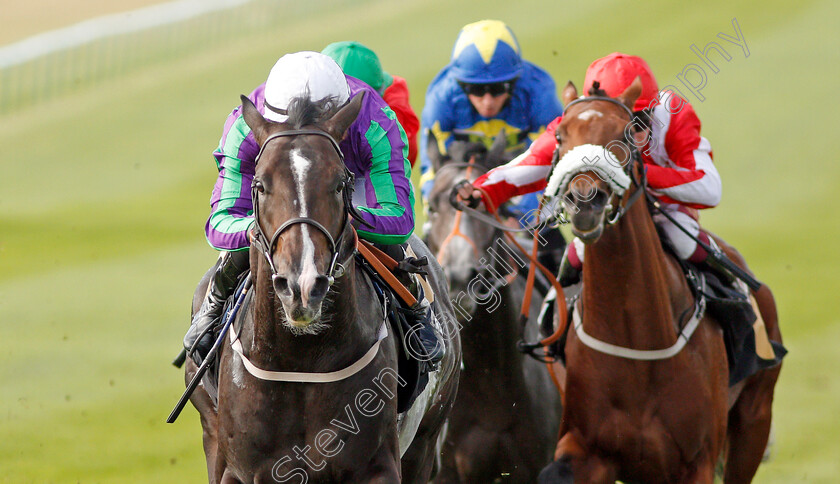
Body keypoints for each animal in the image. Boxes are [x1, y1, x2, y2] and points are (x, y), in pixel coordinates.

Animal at [185, 91, 460, 484]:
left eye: (340, 183)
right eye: (260, 185)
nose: (302, 286)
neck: (302, 361)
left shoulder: (377, 466)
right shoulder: (236, 470)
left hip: (425, 440)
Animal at [540, 77, 780, 482]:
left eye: (624, 133)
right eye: (559, 135)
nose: (585, 201)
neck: (638, 339)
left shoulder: (697, 460)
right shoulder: (589, 450)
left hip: (754, 418)